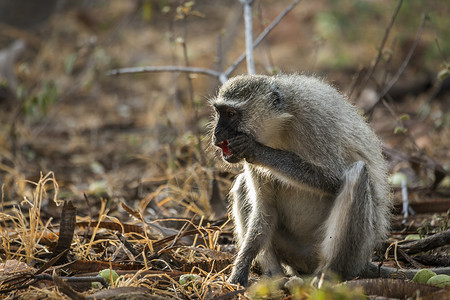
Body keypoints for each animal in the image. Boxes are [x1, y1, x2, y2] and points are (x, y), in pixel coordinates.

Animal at [211, 74, 450, 286]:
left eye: (231, 113)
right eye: (219, 112)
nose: (216, 134)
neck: (279, 125)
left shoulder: (314, 122)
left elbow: (332, 180)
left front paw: (258, 150)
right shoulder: (250, 163)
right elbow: (265, 209)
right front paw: (239, 271)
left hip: (351, 251)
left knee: (356, 174)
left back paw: (327, 276)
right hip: (293, 253)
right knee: (242, 186)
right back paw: (275, 278)